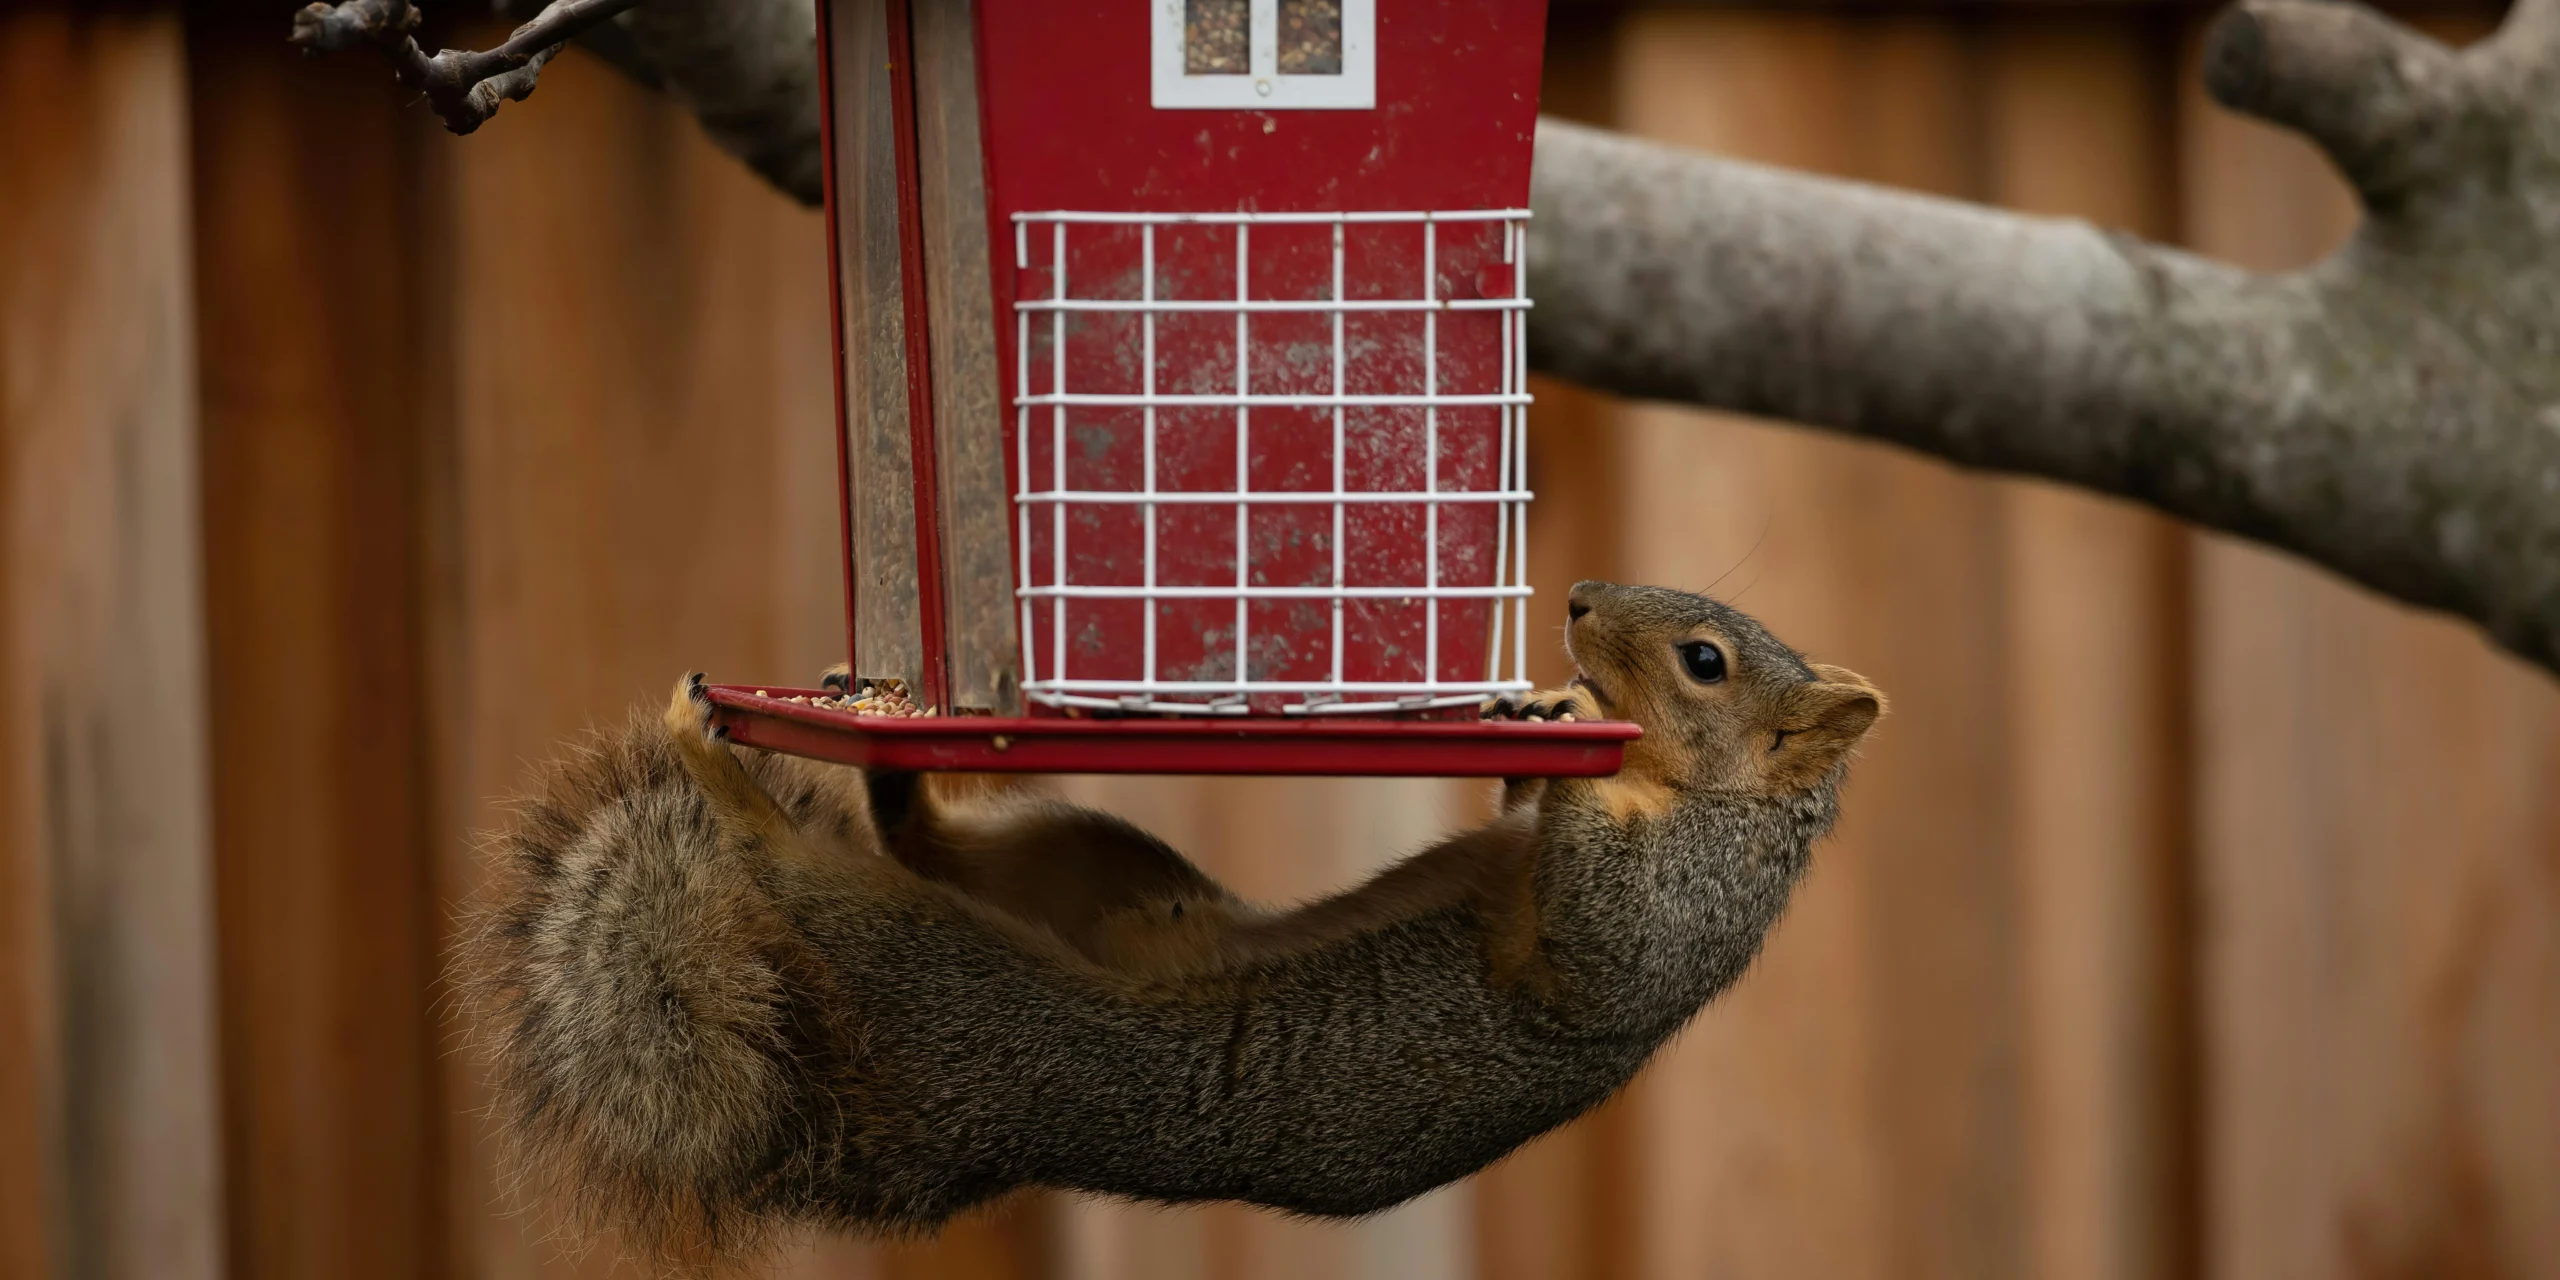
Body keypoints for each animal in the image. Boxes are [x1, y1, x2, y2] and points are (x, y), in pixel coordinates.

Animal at [453, 580, 1884, 1270]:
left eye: (1704, 662)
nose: (1577, 598)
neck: (1728, 801)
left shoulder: (1679, 905)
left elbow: (1594, 936)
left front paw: (1578, 721)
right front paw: (1535, 708)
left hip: (938, 967)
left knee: (823, 876)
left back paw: (731, 775)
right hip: (1090, 861)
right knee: (932, 842)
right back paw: (900, 765)